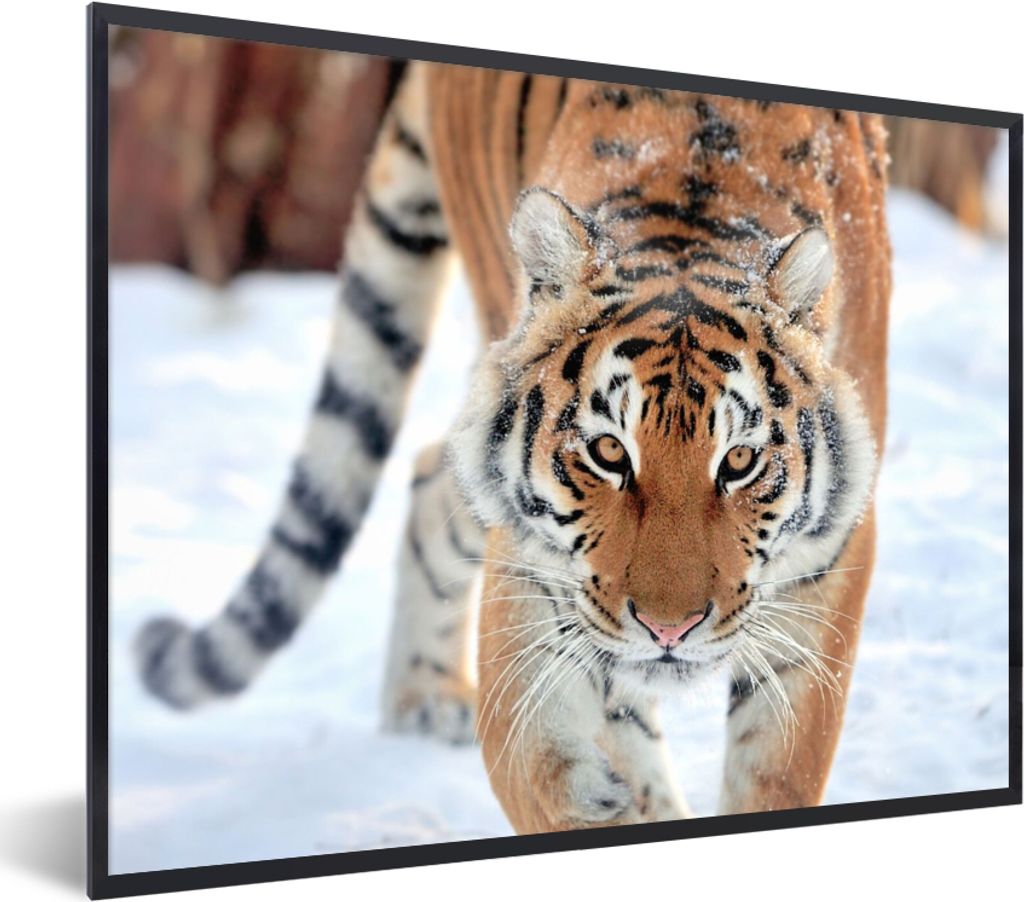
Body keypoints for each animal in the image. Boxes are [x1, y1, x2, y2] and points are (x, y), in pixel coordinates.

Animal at [135, 60, 891, 833]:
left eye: (739, 461)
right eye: (609, 453)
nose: (668, 630)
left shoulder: (829, 564)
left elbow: (777, 768)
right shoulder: (533, 576)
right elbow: (541, 766)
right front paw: (603, 802)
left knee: (430, 472)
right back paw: (425, 701)